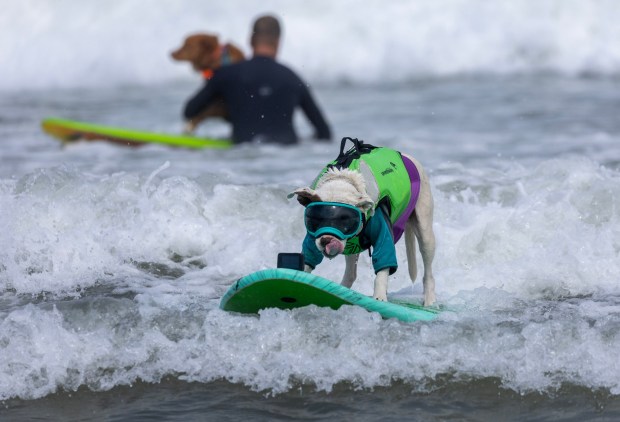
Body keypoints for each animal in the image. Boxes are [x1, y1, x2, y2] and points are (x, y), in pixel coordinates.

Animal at [286, 138, 436, 306]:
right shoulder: (313, 236)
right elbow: (308, 258)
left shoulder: (383, 234)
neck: (342, 181)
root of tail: (407, 157)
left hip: (425, 230)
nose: (326, 240)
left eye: (345, 220)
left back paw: (430, 301)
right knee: (351, 272)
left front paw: (379, 298)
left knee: (428, 269)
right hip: (352, 247)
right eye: (316, 219)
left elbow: (383, 266)